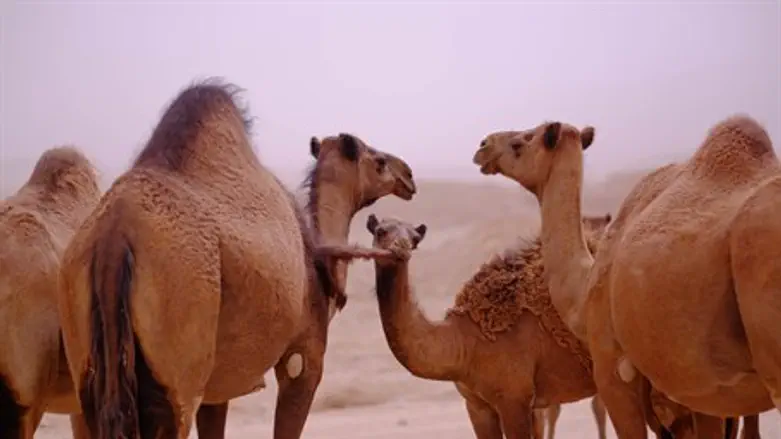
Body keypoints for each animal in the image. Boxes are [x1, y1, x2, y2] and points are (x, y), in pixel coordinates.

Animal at [365, 213, 616, 439]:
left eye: (415, 239)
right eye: (380, 231)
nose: (402, 248)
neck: (464, 341)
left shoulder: (515, 399)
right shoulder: (476, 406)